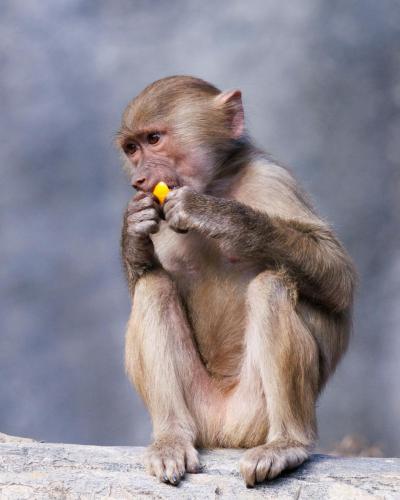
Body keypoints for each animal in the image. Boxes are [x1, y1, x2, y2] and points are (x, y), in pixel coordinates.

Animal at [115, 76, 356, 486]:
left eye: (154, 139)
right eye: (132, 148)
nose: (139, 180)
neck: (215, 183)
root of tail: (225, 432)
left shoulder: (271, 180)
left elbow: (339, 282)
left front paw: (219, 218)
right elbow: (144, 277)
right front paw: (134, 227)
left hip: (253, 412)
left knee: (272, 286)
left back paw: (287, 444)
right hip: (199, 411)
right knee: (153, 288)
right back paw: (171, 440)